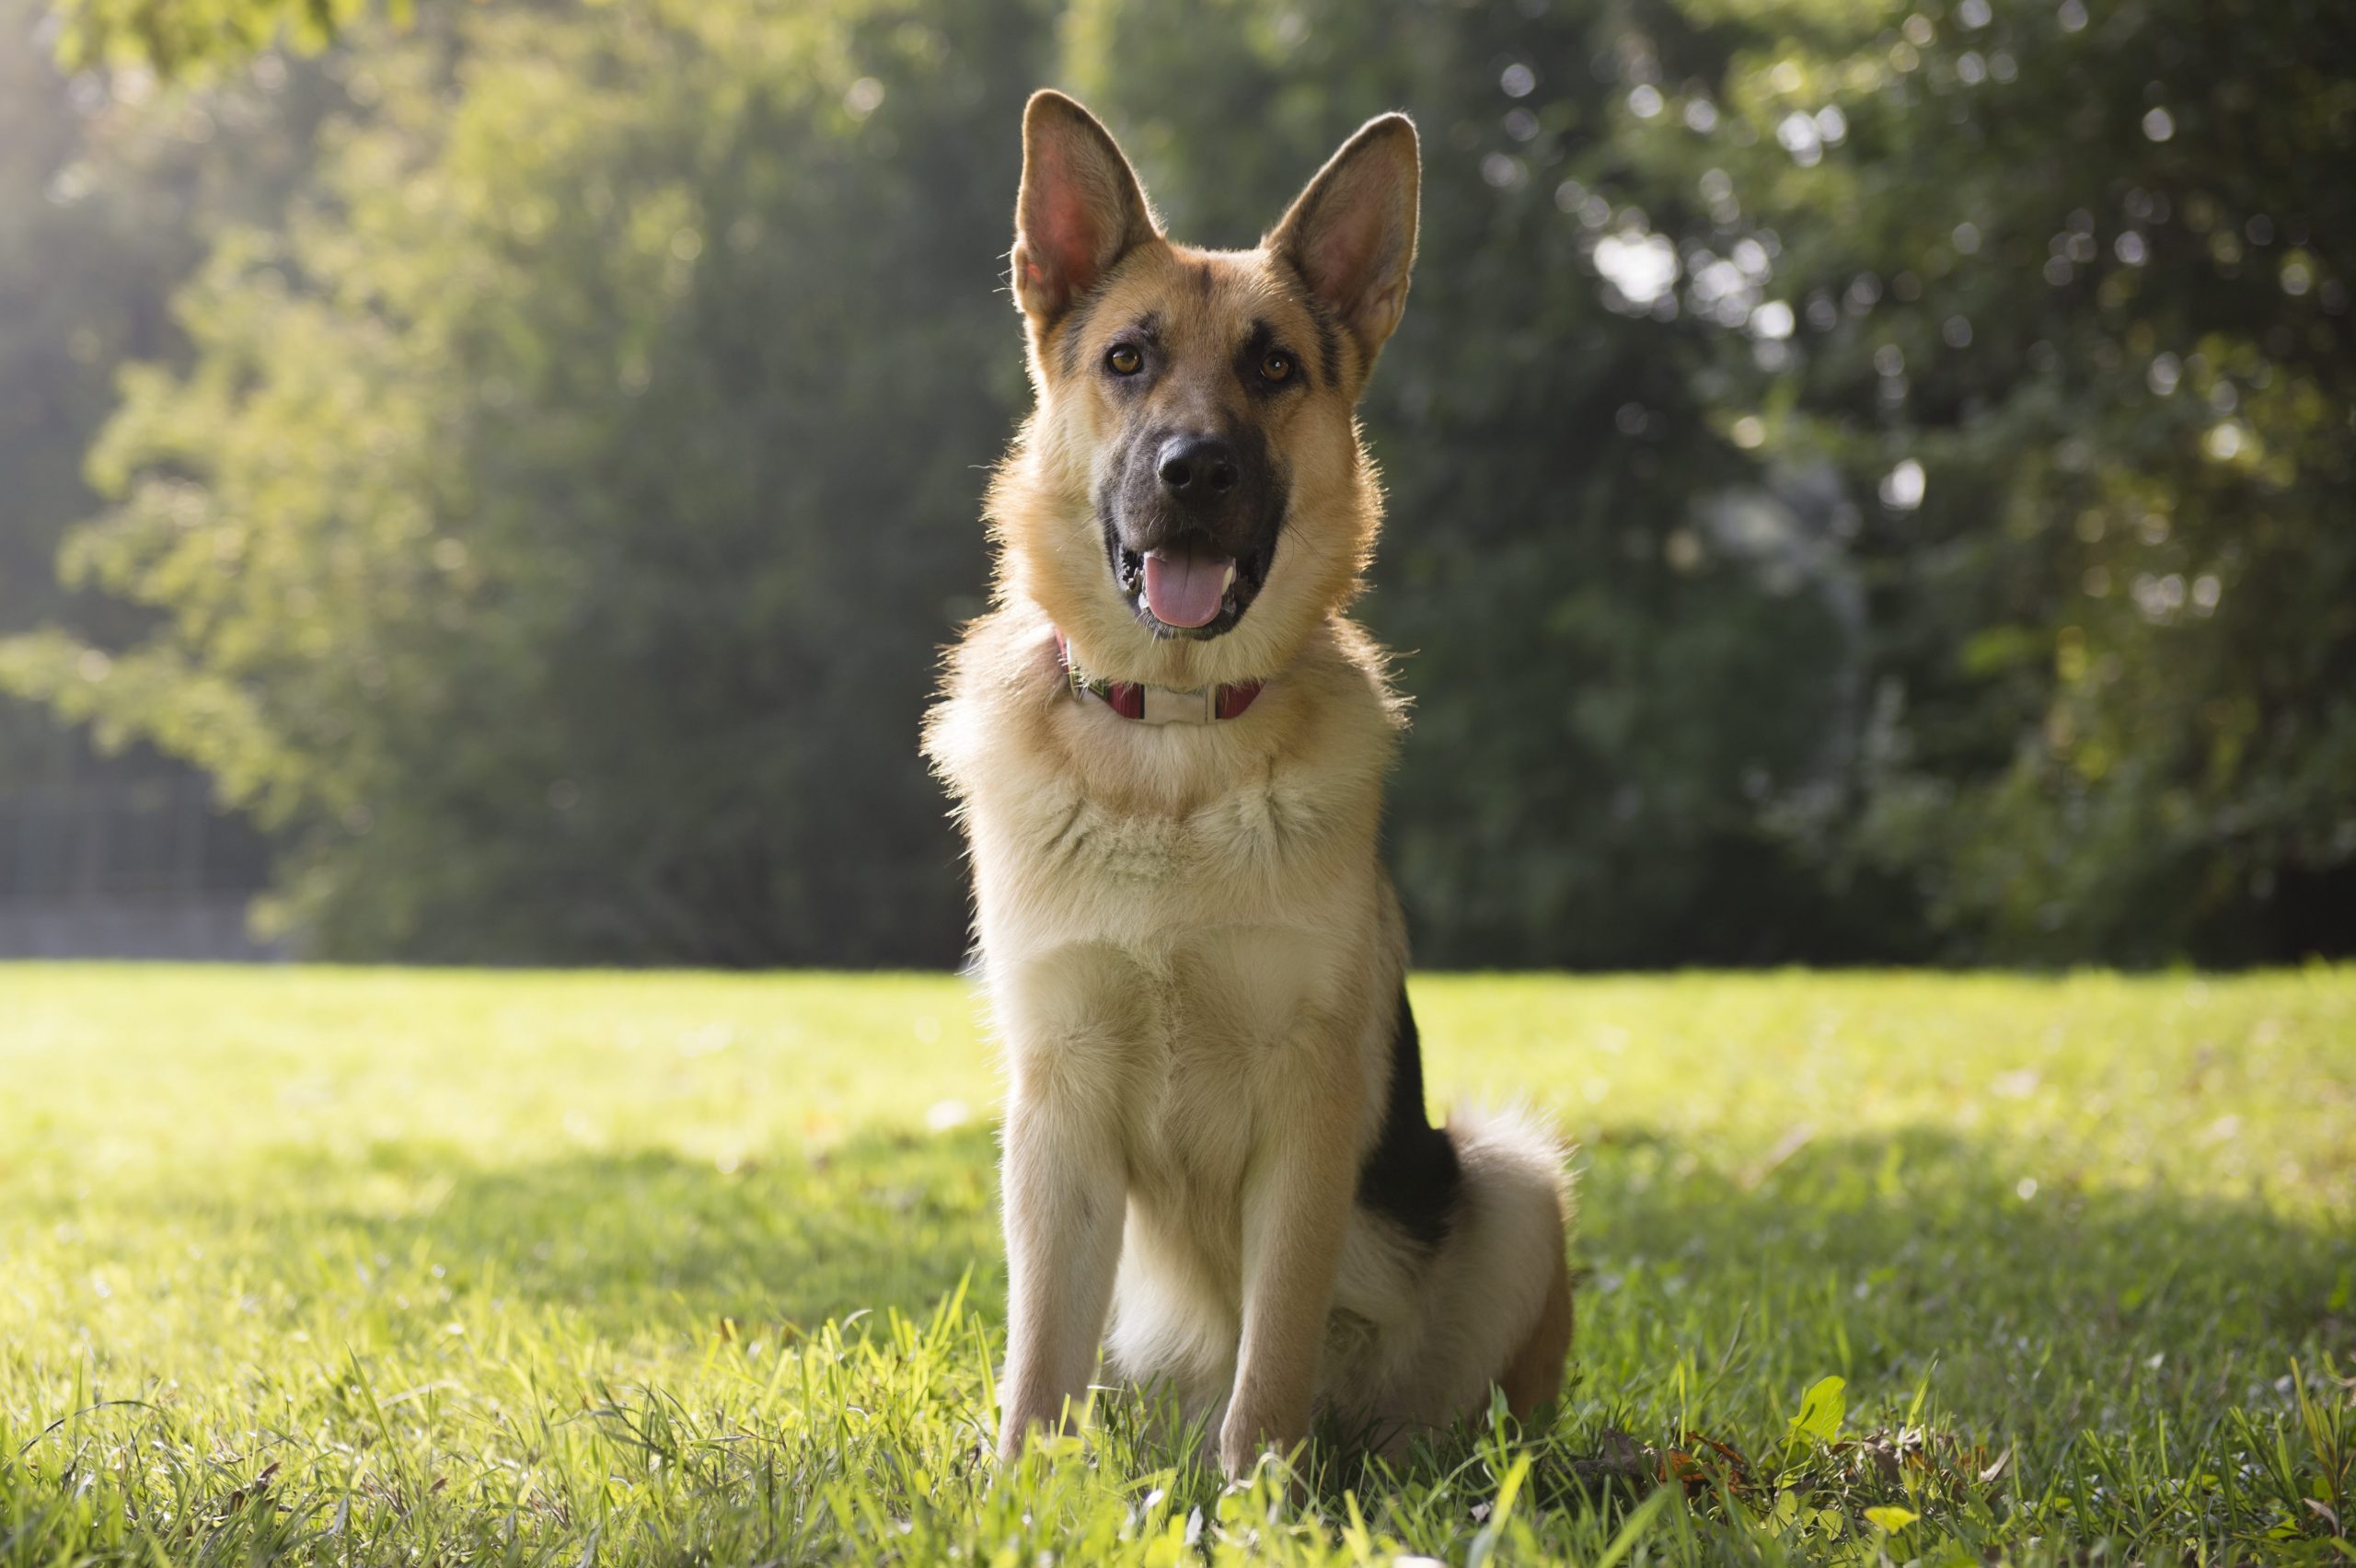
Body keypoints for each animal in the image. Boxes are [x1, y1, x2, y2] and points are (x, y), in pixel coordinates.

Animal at [928, 91, 1574, 1469]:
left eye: (1274, 368)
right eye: (1128, 359)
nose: (1195, 471)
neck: (1174, 744)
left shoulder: (1310, 1112)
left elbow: (1272, 1348)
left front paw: (1262, 1490)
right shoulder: (1057, 1111)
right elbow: (1037, 1357)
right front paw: (1017, 1487)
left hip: (1512, 1181)